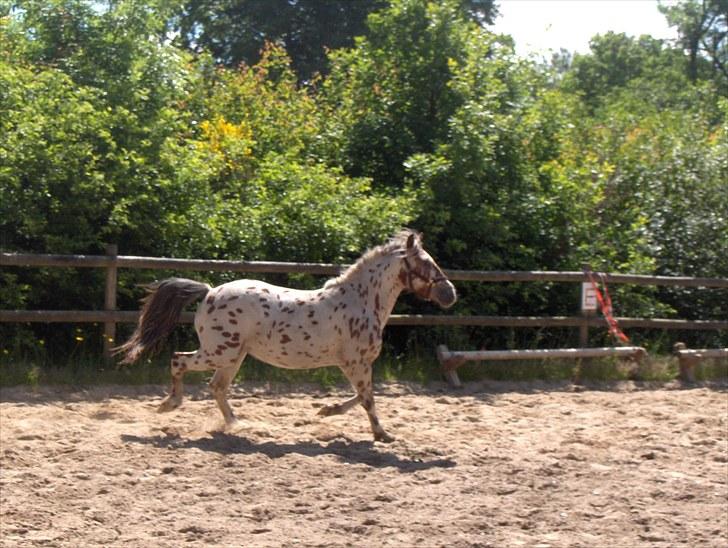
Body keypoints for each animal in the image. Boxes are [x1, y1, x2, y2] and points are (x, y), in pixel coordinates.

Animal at [114, 229, 456, 444]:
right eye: (425, 263)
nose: (450, 293)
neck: (361, 300)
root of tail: (209, 292)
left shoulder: (355, 365)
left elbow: (362, 397)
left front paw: (327, 411)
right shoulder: (355, 363)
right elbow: (367, 398)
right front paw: (381, 434)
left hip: (233, 355)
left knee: (216, 386)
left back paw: (235, 424)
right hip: (219, 351)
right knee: (179, 362)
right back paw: (170, 404)